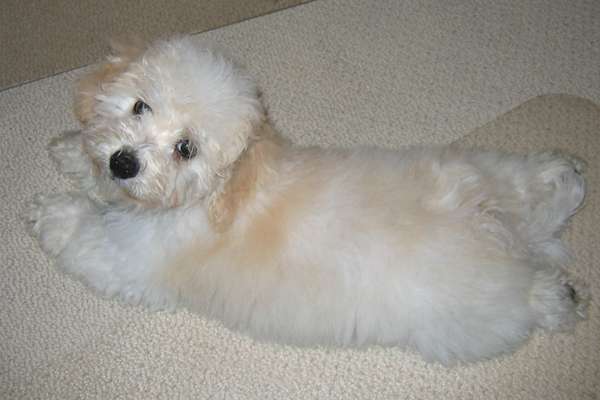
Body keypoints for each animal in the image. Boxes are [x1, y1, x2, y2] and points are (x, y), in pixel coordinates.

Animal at [28, 36, 584, 364]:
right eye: (139, 106)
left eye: (185, 148)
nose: (124, 162)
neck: (217, 193)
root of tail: (509, 241)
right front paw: (74, 152)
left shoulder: (127, 257)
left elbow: (84, 230)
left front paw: (50, 211)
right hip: (481, 170)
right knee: (526, 185)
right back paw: (561, 177)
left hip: (467, 322)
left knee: (533, 298)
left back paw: (559, 298)